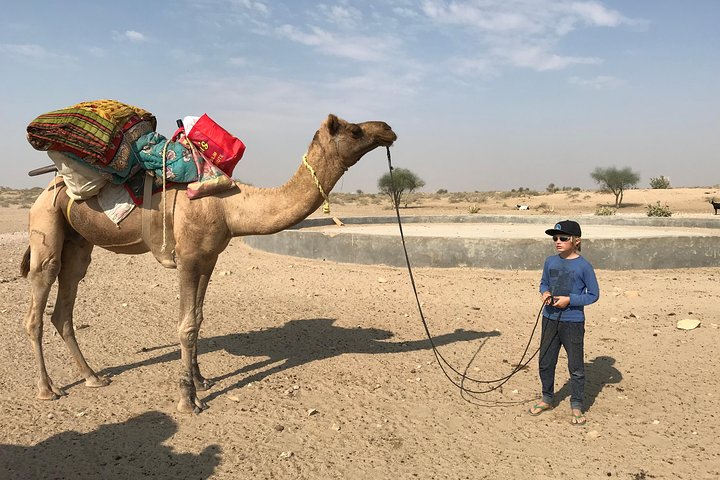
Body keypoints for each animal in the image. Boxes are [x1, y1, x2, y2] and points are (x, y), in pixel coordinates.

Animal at [21, 114, 397, 413]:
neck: (230, 206)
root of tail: (47, 188)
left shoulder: (208, 258)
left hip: (78, 243)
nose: (388, 128)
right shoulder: (187, 258)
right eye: (354, 130)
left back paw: (93, 377)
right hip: (45, 225)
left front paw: (201, 381)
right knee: (38, 303)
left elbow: (199, 320)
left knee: (64, 304)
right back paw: (47, 389)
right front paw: (188, 400)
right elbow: (186, 326)